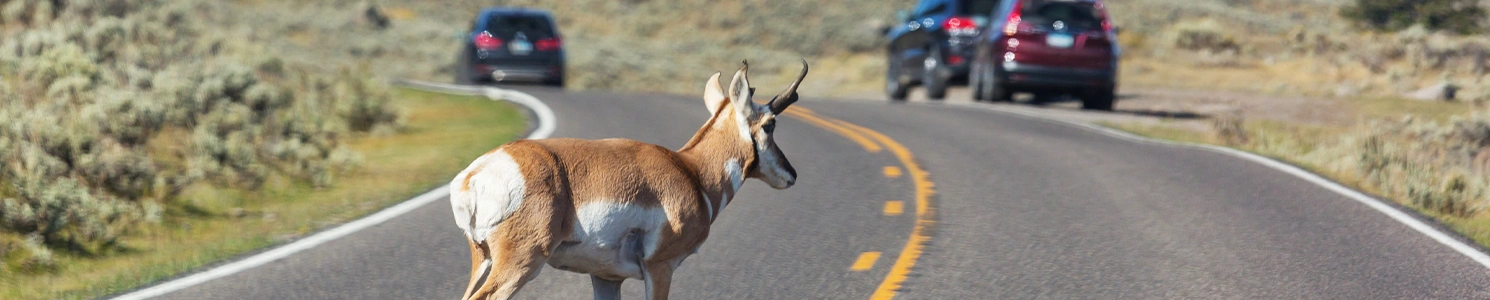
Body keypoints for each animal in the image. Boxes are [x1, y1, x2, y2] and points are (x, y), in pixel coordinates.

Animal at [449, 59, 810, 298]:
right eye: (770, 124)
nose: (791, 174)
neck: (690, 170)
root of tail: (476, 173)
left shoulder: (606, 277)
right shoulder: (660, 268)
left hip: (483, 259)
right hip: (521, 262)